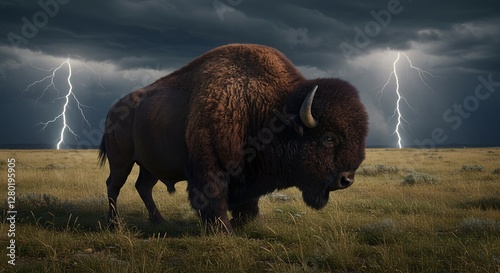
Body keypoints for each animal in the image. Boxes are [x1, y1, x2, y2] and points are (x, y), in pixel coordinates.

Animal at [99, 43, 370, 232]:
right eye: (328, 138)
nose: (347, 179)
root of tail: (112, 109)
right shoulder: (211, 166)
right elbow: (214, 197)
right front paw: (225, 230)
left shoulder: (248, 172)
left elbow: (248, 201)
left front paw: (250, 222)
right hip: (121, 161)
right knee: (113, 185)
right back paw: (115, 225)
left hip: (150, 165)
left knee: (143, 187)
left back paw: (159, 222)